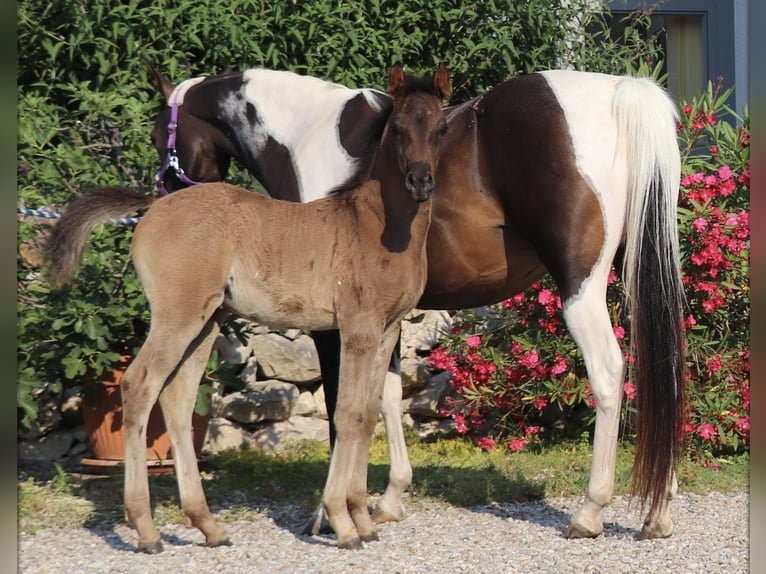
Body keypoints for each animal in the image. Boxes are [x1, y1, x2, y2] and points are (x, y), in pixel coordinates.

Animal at [46, 64, 452, 552]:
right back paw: (146, 530)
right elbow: (348, 414)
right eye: (397, 129)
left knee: (178, 399)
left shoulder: (387, 329)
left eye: (441, 127)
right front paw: (342, 522)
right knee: (139, 384)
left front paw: (362, 518)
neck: (374, 225)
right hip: (178, 316)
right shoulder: (356, 328)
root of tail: (154, 208)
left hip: (205, 321)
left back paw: (208, 525)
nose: (420, 181)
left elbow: (368, 412)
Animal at [144, 62, 686, 543]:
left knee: (609, 372)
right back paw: (657, 512)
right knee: (658, 371)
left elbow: (343, 409)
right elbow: (381, 396)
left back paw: (591, 511)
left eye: (157, 137)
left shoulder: (334, 325)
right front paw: (384, 500)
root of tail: (618, 91)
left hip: (580, 287)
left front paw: (329, 515)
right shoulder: (382, 315)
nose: (164, 201)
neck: (310, 136)